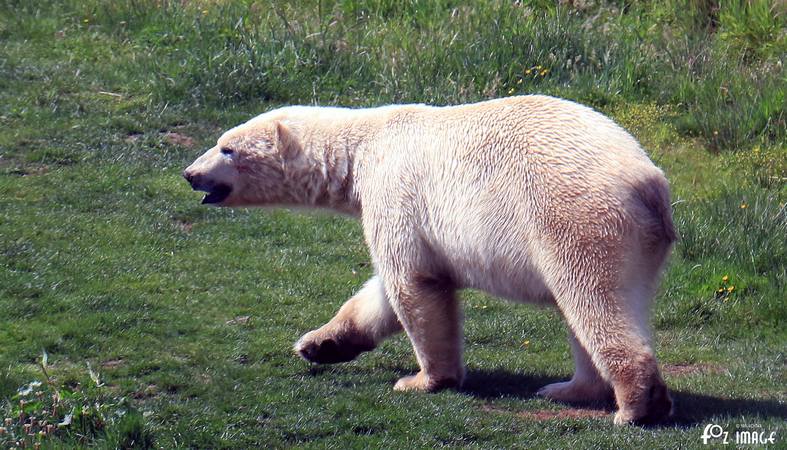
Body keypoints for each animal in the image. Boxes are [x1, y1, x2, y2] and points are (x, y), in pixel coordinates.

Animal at [182, 95, 676, 426]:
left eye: (227, 148)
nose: (190, 173)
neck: (362, 147)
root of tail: (648, 181)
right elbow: (380, 292)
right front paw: (320, 344)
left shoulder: (393, 191)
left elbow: (412, 284)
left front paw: (422, 381)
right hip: (635, 244)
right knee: (591, 309)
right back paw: (568, 389)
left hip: (572, 219)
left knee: (593, 299)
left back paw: (635, 406)